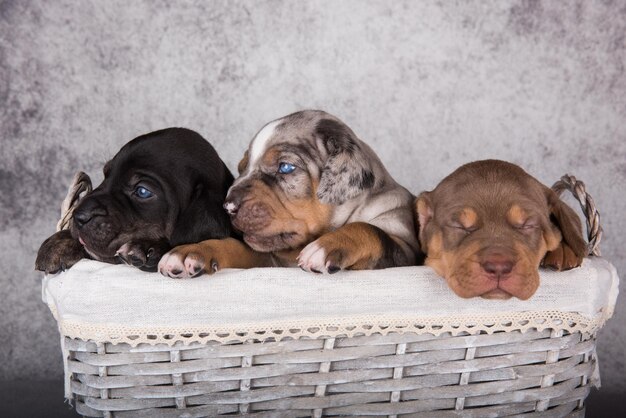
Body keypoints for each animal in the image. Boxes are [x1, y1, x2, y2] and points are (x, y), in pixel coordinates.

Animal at [158, 110, 420, 278]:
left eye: (285, 167)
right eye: (242, 168)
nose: (228, 206)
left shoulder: (405, 250)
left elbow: (370, 230)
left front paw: (324, 246)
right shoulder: (269, 260)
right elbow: (236, 246)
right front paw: (192, 251)